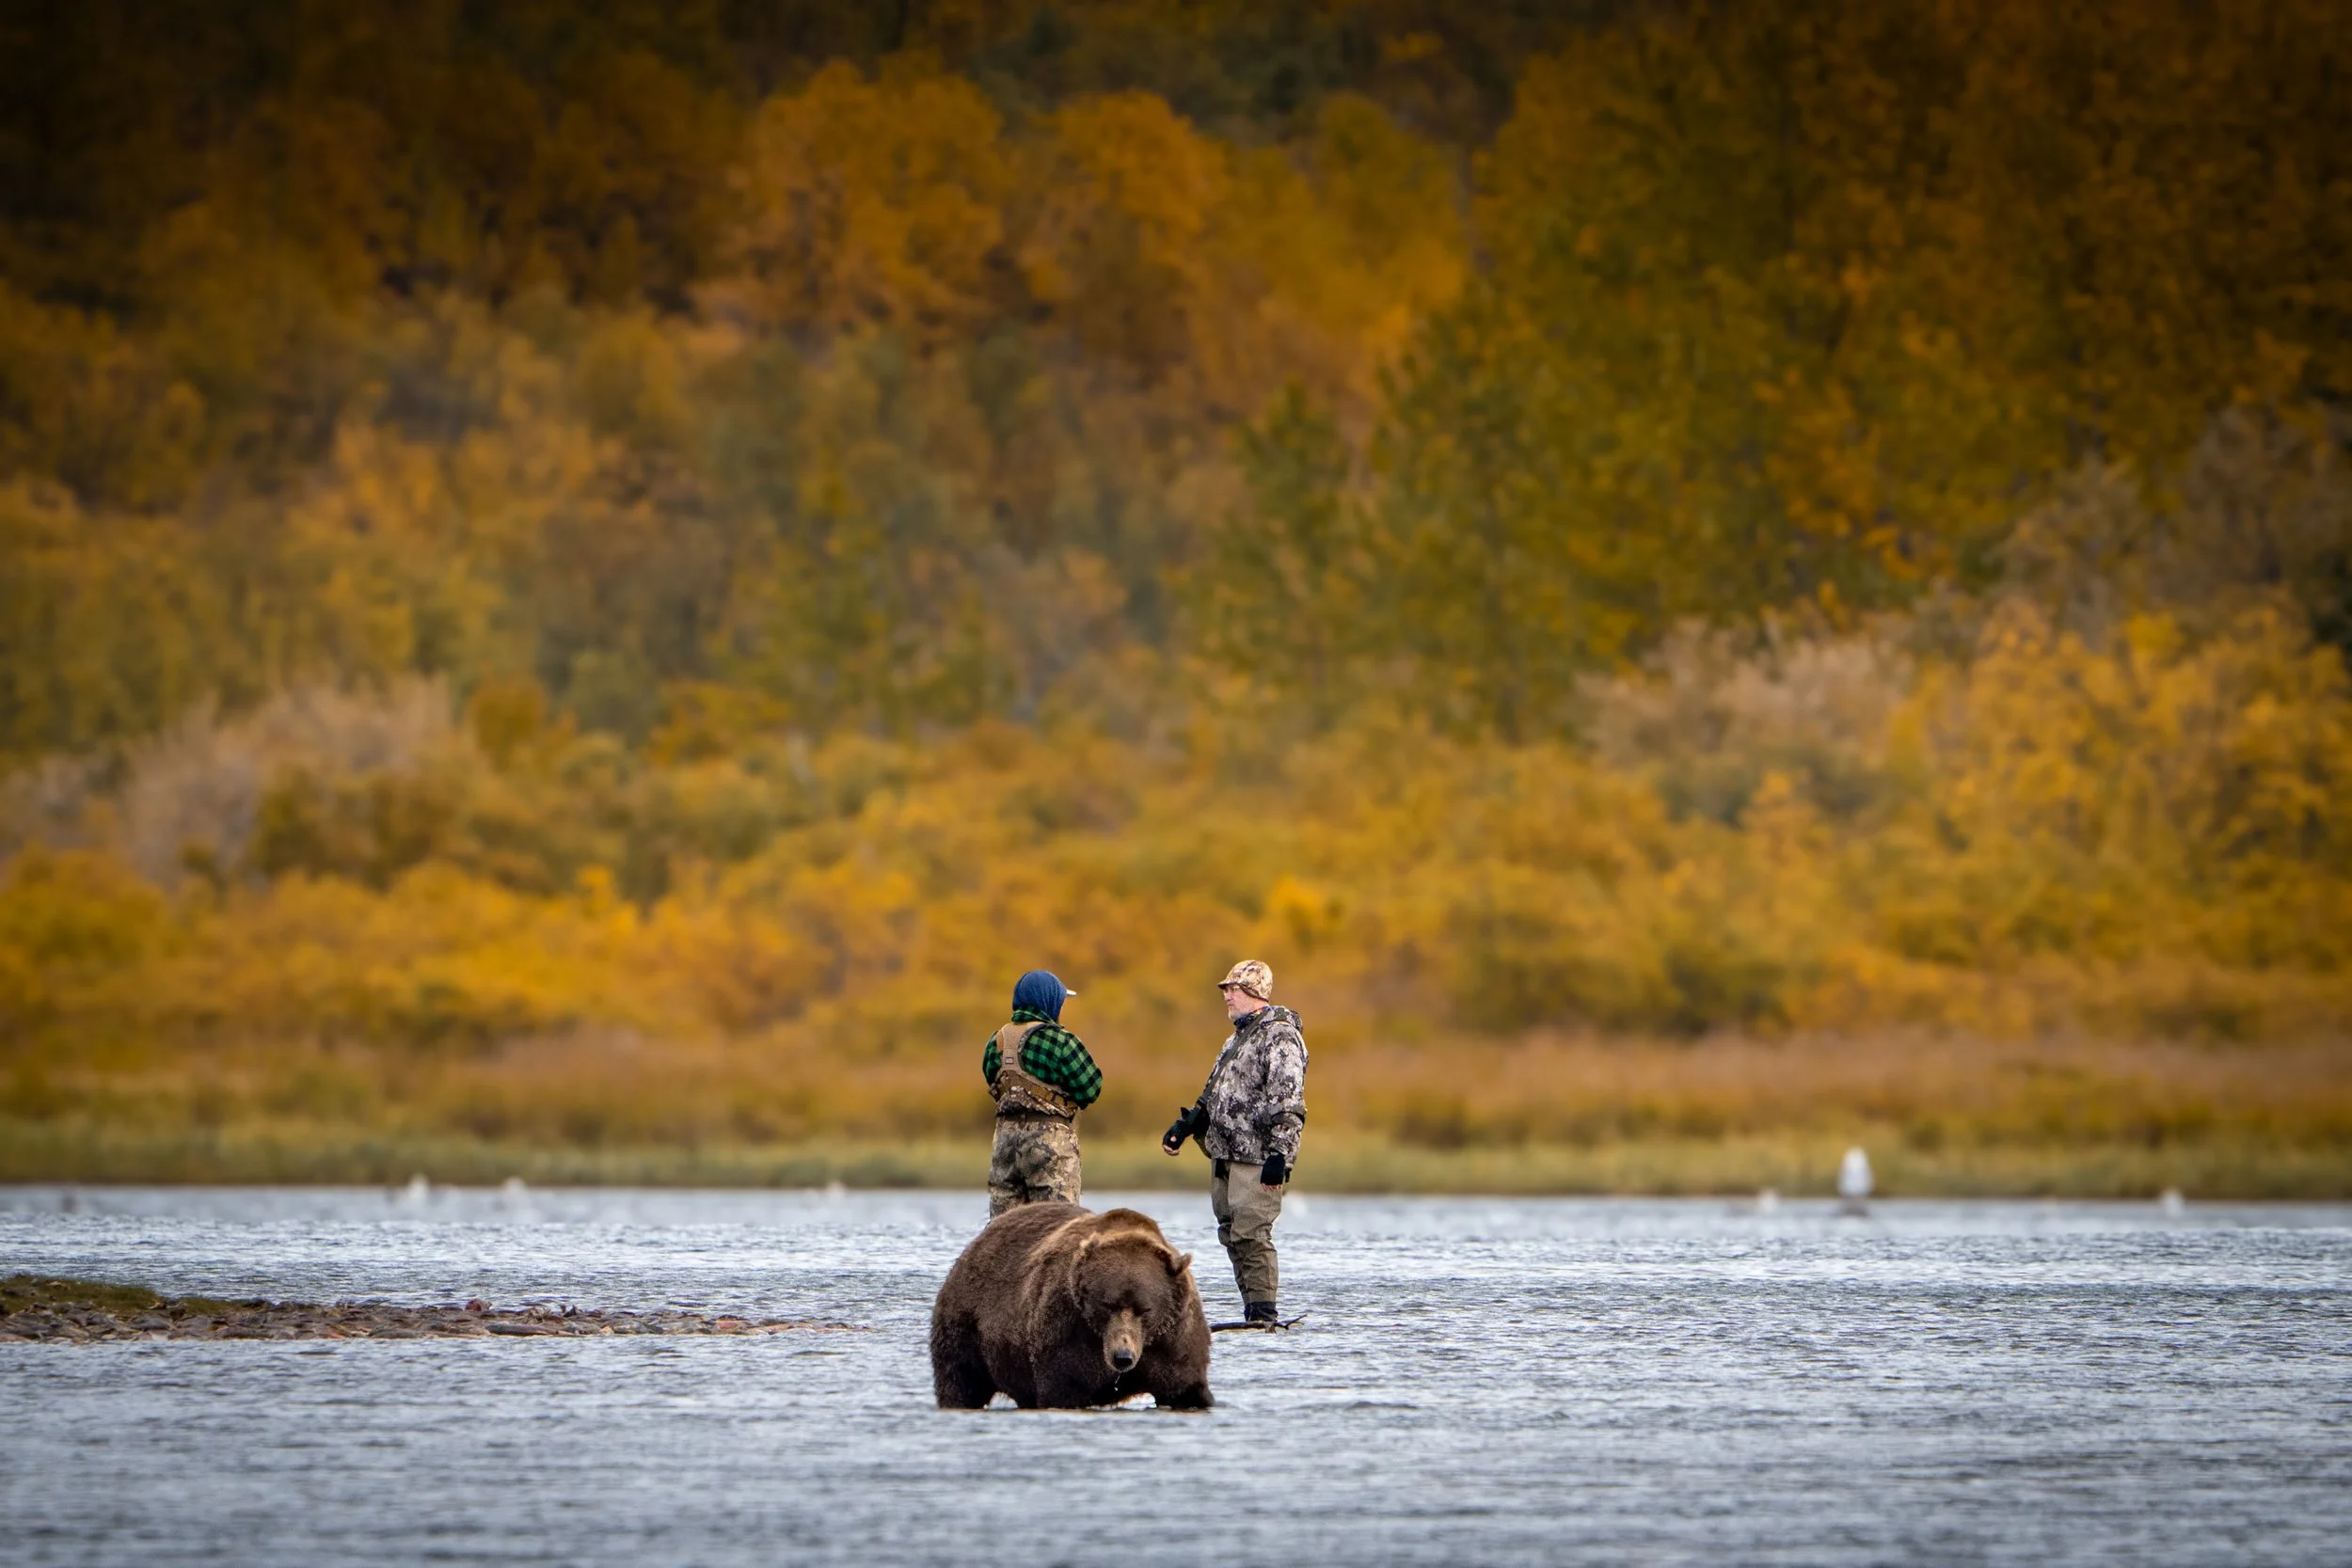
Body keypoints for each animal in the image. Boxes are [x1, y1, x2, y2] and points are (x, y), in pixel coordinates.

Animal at [931, 1201, 1213, 1410]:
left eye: (1144, 1309)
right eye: (1107, 1305)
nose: (1122, 1357)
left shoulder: (1174, 1338)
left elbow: (1185, 1387)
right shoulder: (1068, 1329)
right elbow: (1065, 1386)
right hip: (968, 1323)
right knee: (960, 1379)